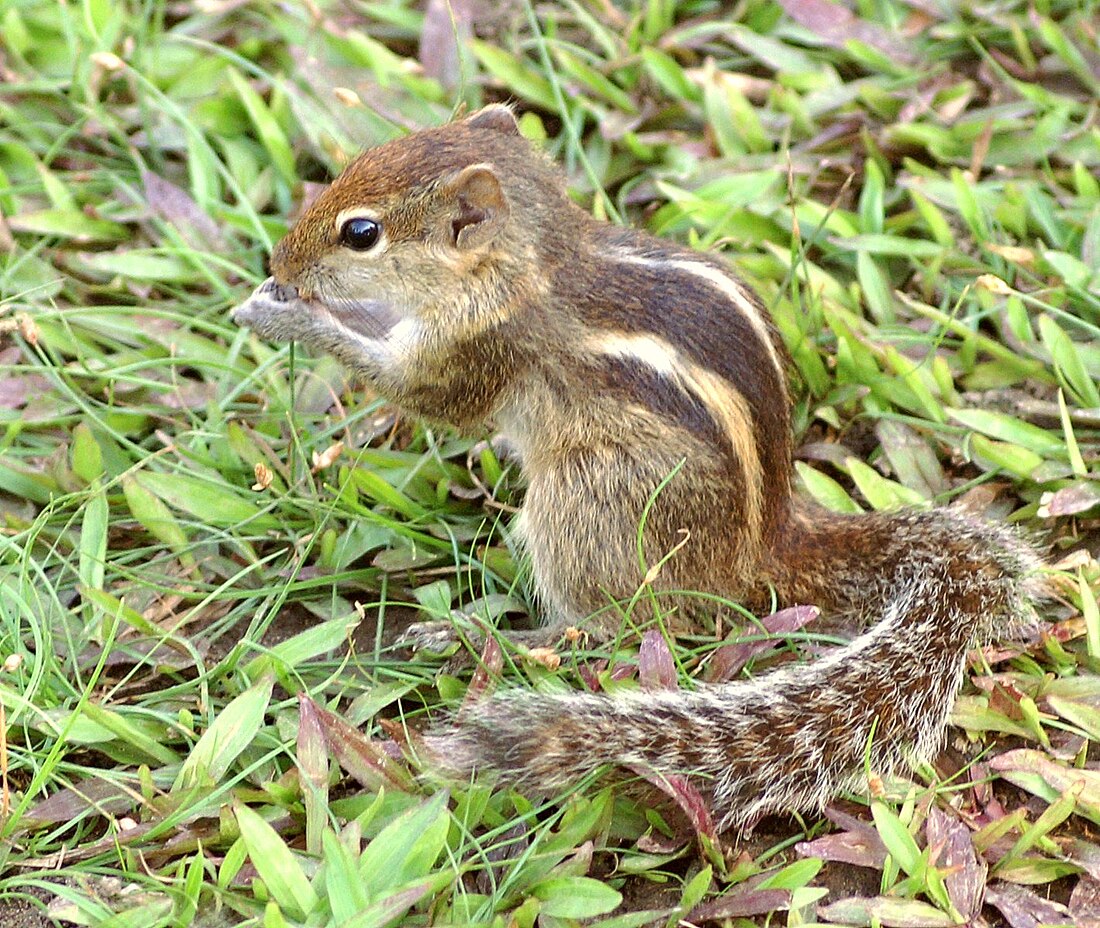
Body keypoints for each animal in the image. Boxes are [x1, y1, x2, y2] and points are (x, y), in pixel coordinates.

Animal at [232, 103, 1038, 835]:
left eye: (361, 233)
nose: (279, 261)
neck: (527, 260)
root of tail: (770, 541)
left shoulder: (479, 349)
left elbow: (420, 391)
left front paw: (284, 315)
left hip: (583, 503)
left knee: (608, 627)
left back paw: (479, 636)